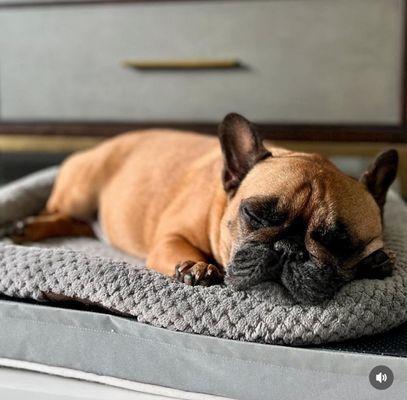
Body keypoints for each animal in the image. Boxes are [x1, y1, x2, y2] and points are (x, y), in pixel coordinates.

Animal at [7, 112, 400, 304]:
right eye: (255, 214)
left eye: (338, 242)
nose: (287, 248)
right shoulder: (170, 239)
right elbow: (183, 250)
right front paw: (197, 267)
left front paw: (376, 261)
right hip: (81, 190)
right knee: (59, 211)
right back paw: (28, 226)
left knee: (79, 223)